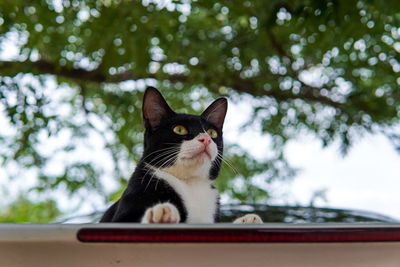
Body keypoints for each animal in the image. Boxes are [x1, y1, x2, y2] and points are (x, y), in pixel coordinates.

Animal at [100, 87, 262, 224]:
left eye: (212, 132)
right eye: (179, 129)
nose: (206, 139)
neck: (191, 185)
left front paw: (247, 220)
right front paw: (160, 213)